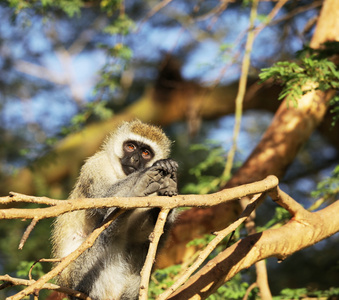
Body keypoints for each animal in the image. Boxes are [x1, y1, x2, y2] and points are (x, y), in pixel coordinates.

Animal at [51, 120, 179, 300]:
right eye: (131, 146)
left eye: (146, 152)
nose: (134, 158)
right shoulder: (96, 165)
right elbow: (105, 199)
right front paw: (147, 173)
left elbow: (142, 235)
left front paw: (169, 188)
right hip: (82, 275)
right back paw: (138, 188)